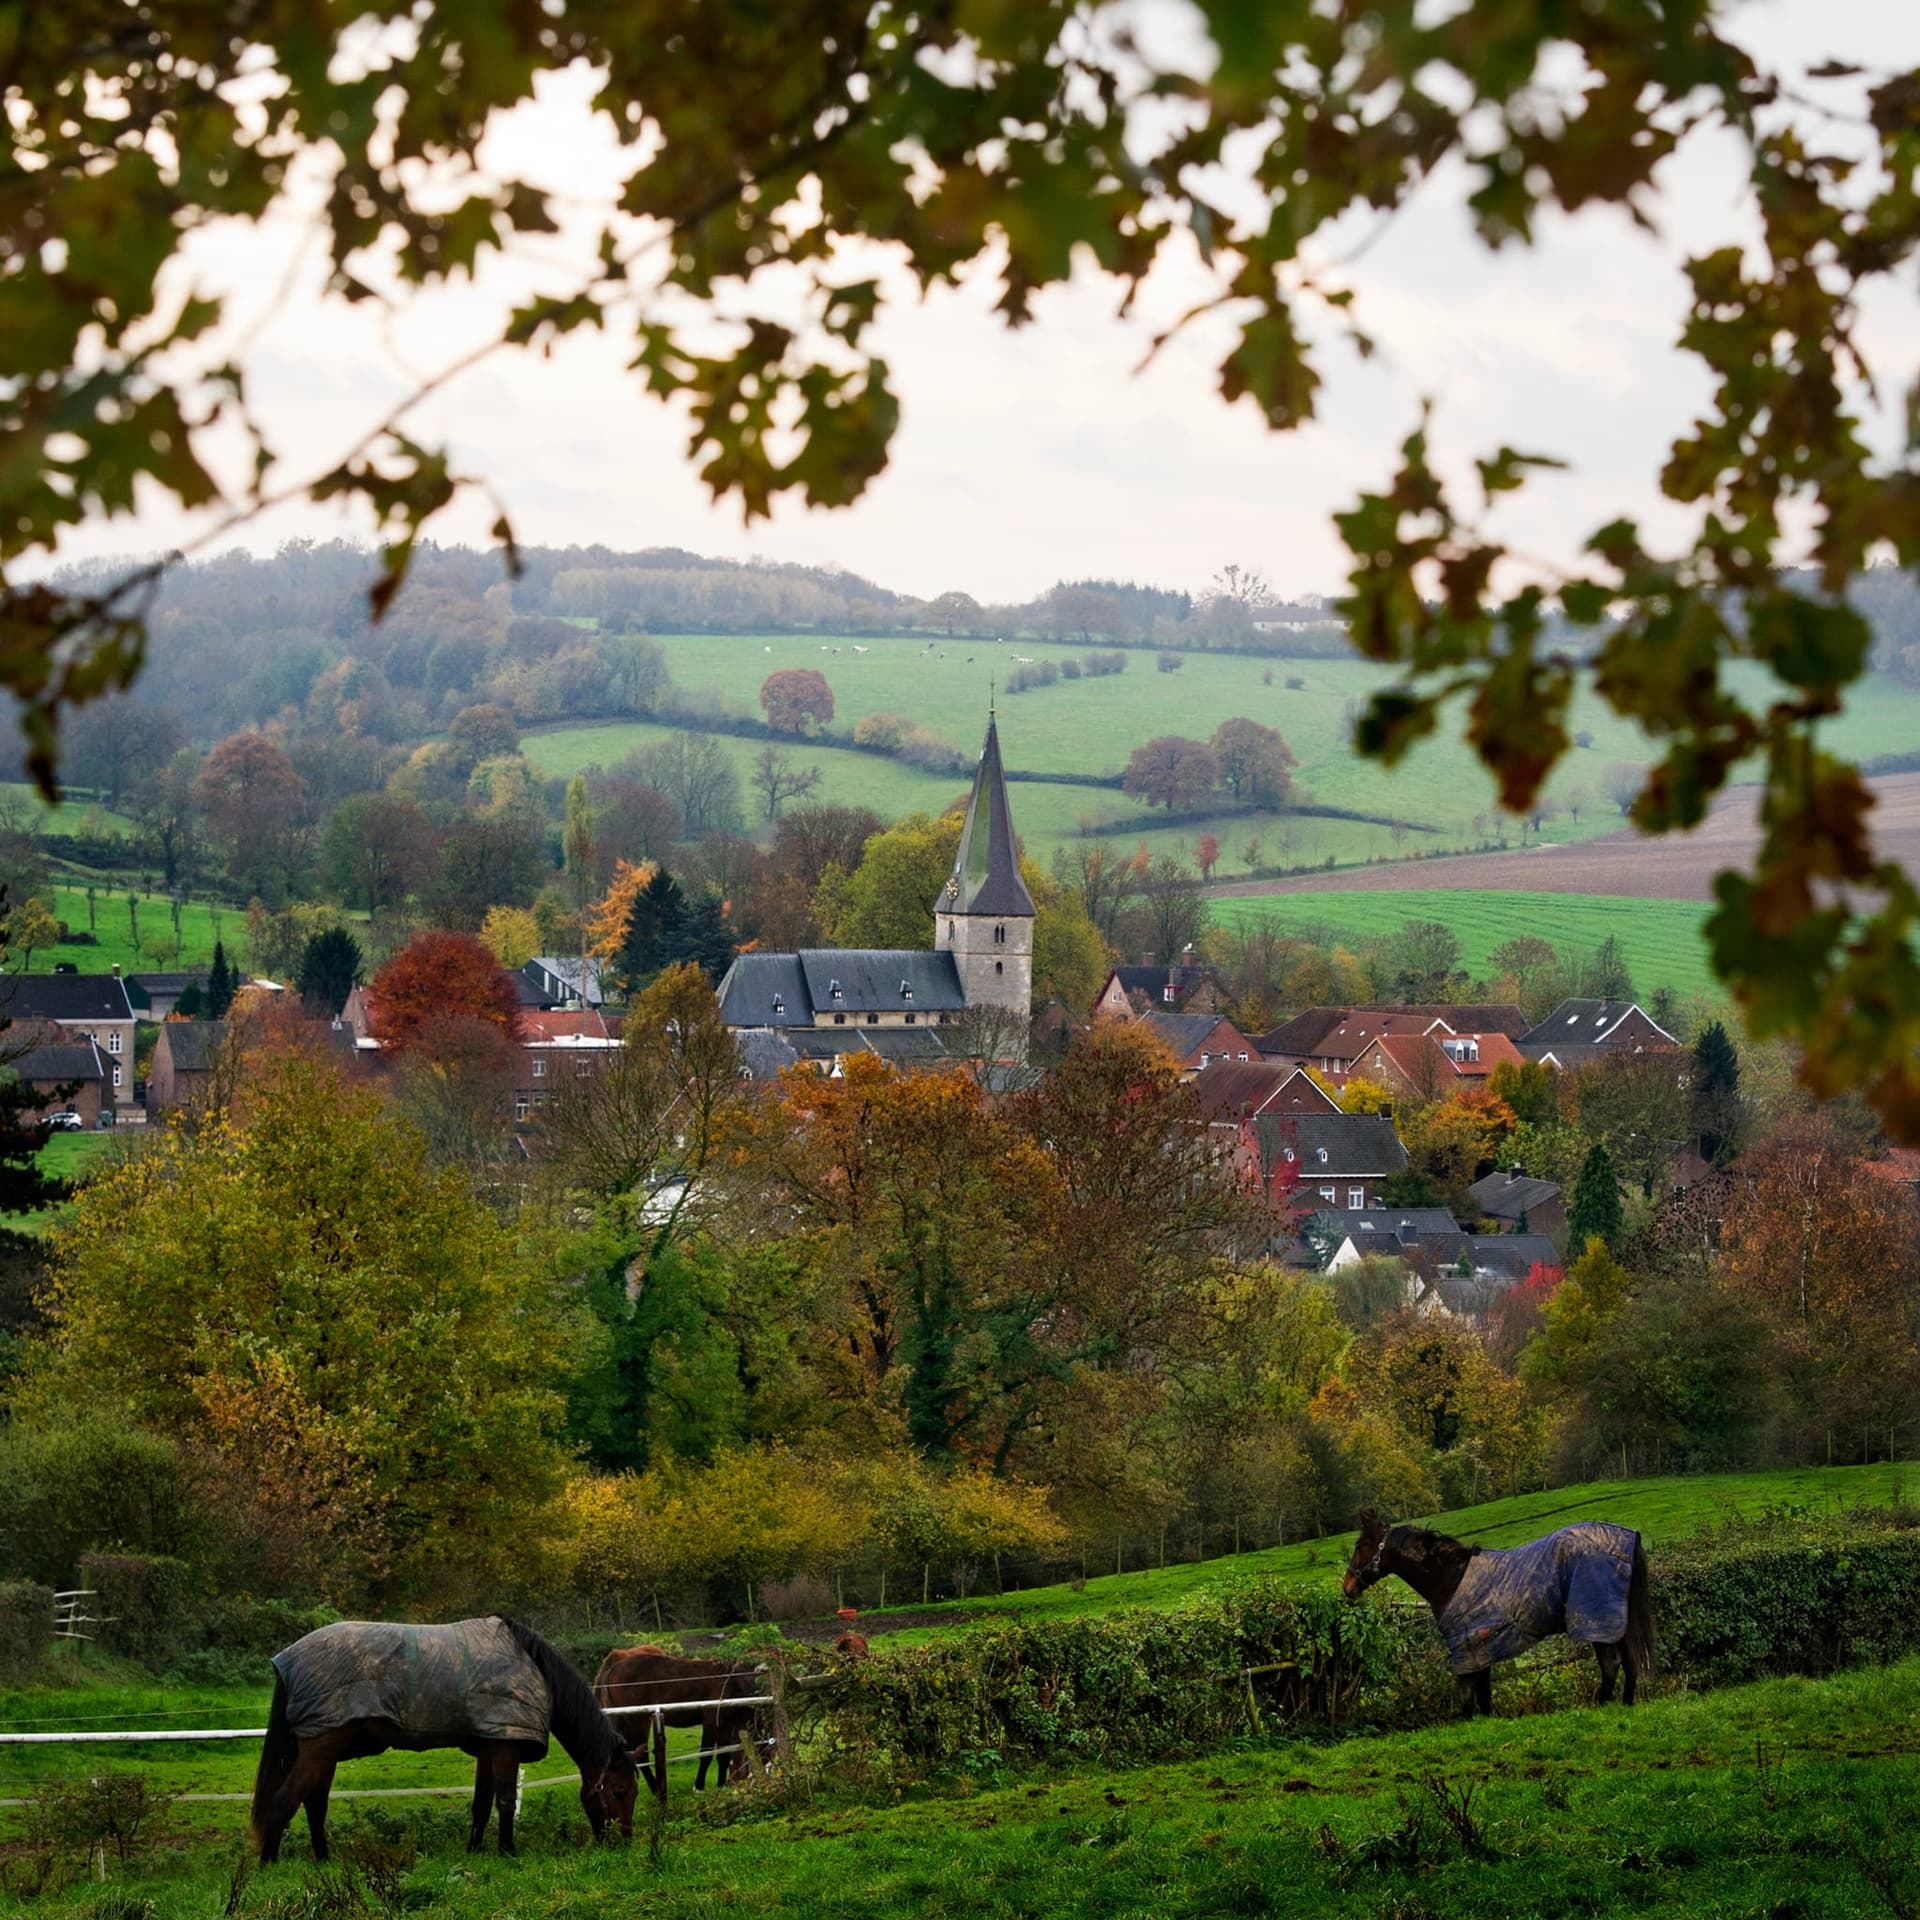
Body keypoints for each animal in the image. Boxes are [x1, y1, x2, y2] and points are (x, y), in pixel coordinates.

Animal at [243, 1612, 637, 1866]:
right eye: (619, 1791)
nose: (624, 1842)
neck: (533, 1666)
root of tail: (287, 1661)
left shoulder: (489, 1746)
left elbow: (482, 1803)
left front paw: (475, 1850)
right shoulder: (506, 1746)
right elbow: (506, 1800)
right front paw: (507, 1850)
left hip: (326, 1749)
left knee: (314, 1805)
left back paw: (323, 1859)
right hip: (320, 1748)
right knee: (284, 1801)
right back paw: (269, 1863)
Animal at [591, 1643, 764, 1789]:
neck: (731, 1682)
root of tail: (613, 1667)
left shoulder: (724, 1724)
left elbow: (723, 1755)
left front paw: (721, 1787)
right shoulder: (711, 1721)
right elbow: (706, 1754)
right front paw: (699, 1787)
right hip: (638, 1722)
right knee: (641, 1756)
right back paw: (656, 1788)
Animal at [1344, 1505, 1658, 1720]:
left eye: (1360, 1545)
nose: (1346, 1587)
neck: (1451, 1577)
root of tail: (1626, 1539)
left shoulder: (1466, 1650)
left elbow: (1467, 1702)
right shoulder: (1479, 1650)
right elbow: (1483, 1698)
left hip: (1597, 1620)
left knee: (1611, 1665)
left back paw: (1599, 1707)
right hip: (1617, 1621)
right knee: (1630, 1662)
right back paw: (1626, 1705)